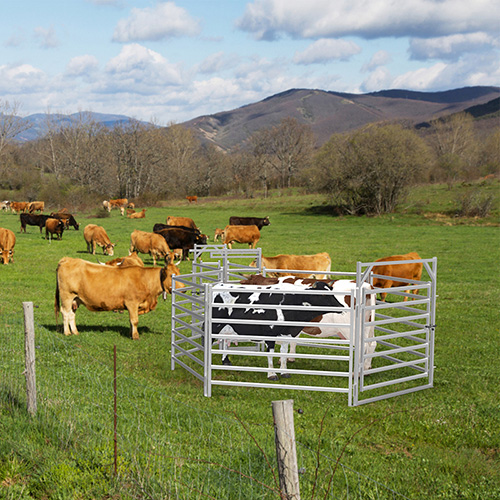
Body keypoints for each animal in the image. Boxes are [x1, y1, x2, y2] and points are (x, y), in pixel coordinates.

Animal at [54, 258, 182, 340]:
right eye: (171, 275)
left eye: (179, 272)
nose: (184, 289)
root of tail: (67, 259)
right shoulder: (132, 303)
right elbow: (134, 320)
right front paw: (135, 336)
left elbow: (131, 321)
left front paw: (131, 333)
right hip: (67, 296)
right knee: (65, 312)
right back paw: (67, 333)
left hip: (75, 299)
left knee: (71, 314)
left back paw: (75, 332)